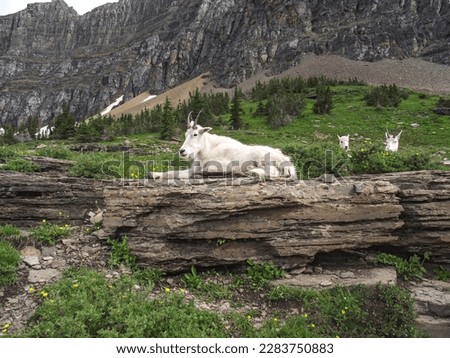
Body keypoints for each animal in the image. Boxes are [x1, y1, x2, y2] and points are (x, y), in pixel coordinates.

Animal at [147, 111, 298, 180]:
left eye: (195, 134)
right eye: (185, 134)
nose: (182, 151)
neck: (207, 150)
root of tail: (286, 161)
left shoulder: (221, 164)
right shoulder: (192, 168)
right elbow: (174, 173)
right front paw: (153, 174)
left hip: (262, 159)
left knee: (272, 172)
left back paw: (249, 171)